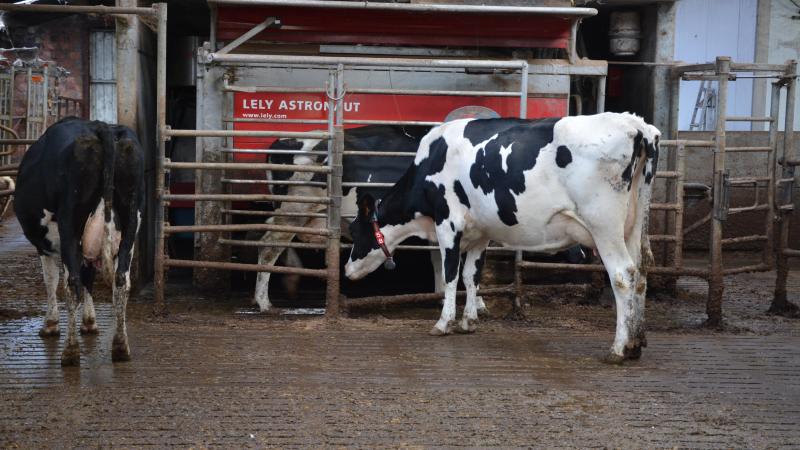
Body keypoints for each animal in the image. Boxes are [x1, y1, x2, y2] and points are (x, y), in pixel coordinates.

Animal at [14, 117, 144, 366]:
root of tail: (100, 126)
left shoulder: (46, 246)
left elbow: (52, 280)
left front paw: (51, 324)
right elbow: (88, 278)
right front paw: (90, 322)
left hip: (69, 226)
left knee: (72, 284)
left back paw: (70, 353)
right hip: (131, 225)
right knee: (121, 281)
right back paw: (121, 347)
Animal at [344, 113, 660, 363]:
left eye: (354, 232)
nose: (347, 271)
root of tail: (637, 126)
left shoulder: (448, 223)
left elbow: (450, 274)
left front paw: (444, 322)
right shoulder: (481, 232)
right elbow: (472, 275)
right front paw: (469, 321)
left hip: (604, 225)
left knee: (623, 274)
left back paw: (618, 349)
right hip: (635, 224)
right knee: (642, 271)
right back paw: (636, 343)